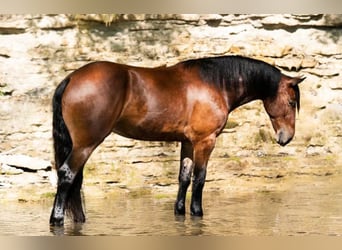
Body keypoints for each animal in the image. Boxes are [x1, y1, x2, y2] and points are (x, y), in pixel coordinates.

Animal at [48, 55, 304, 227]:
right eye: (291, 102)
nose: (286, 137)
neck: (215, 84)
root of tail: (71, 78)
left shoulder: (188, 143)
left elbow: (184, 177)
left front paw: (180, 211)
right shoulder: (205, 142)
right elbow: (200, 178)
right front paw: (197, 212)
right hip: (86, 144)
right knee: (68, 174)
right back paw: (57, 219)